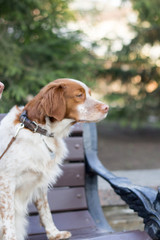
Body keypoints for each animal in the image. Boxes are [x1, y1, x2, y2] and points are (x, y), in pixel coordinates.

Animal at [0, 78, 109, 239]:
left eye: (89, 93)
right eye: (79, 95)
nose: (107, 107)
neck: (37, 130)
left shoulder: (39, 180)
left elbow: (46, 211)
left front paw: (54, 233)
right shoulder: (6, 181)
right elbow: (8, 220)